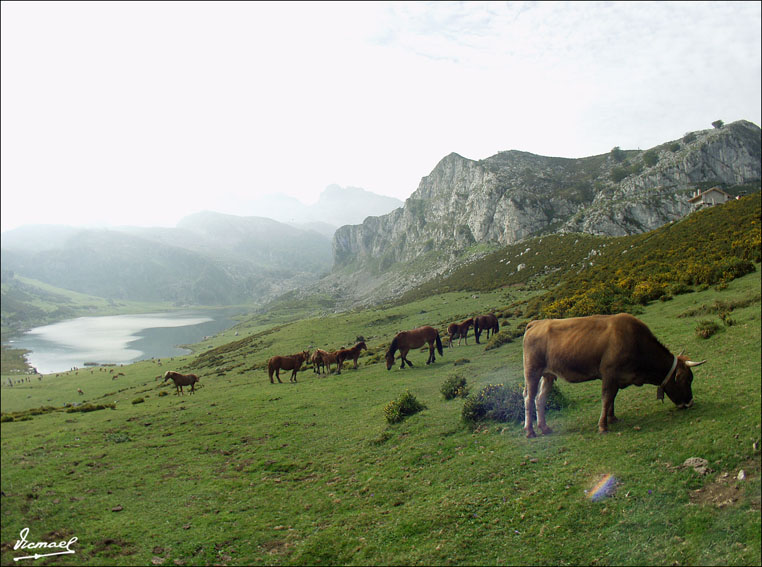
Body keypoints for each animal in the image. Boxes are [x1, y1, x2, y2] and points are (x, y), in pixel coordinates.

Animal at [520, 312, 704, 438]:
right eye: (686, 379)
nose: (690, 402)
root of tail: (537, 323)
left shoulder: (615, 378)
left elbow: (612, 398)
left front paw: (612, 418)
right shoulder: (609, 374)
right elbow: (607, 397)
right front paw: (603, 426)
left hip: (548, 375)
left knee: (540, 398)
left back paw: (545, 428)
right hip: (532, 371)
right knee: (529, 397)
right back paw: (530, 432)